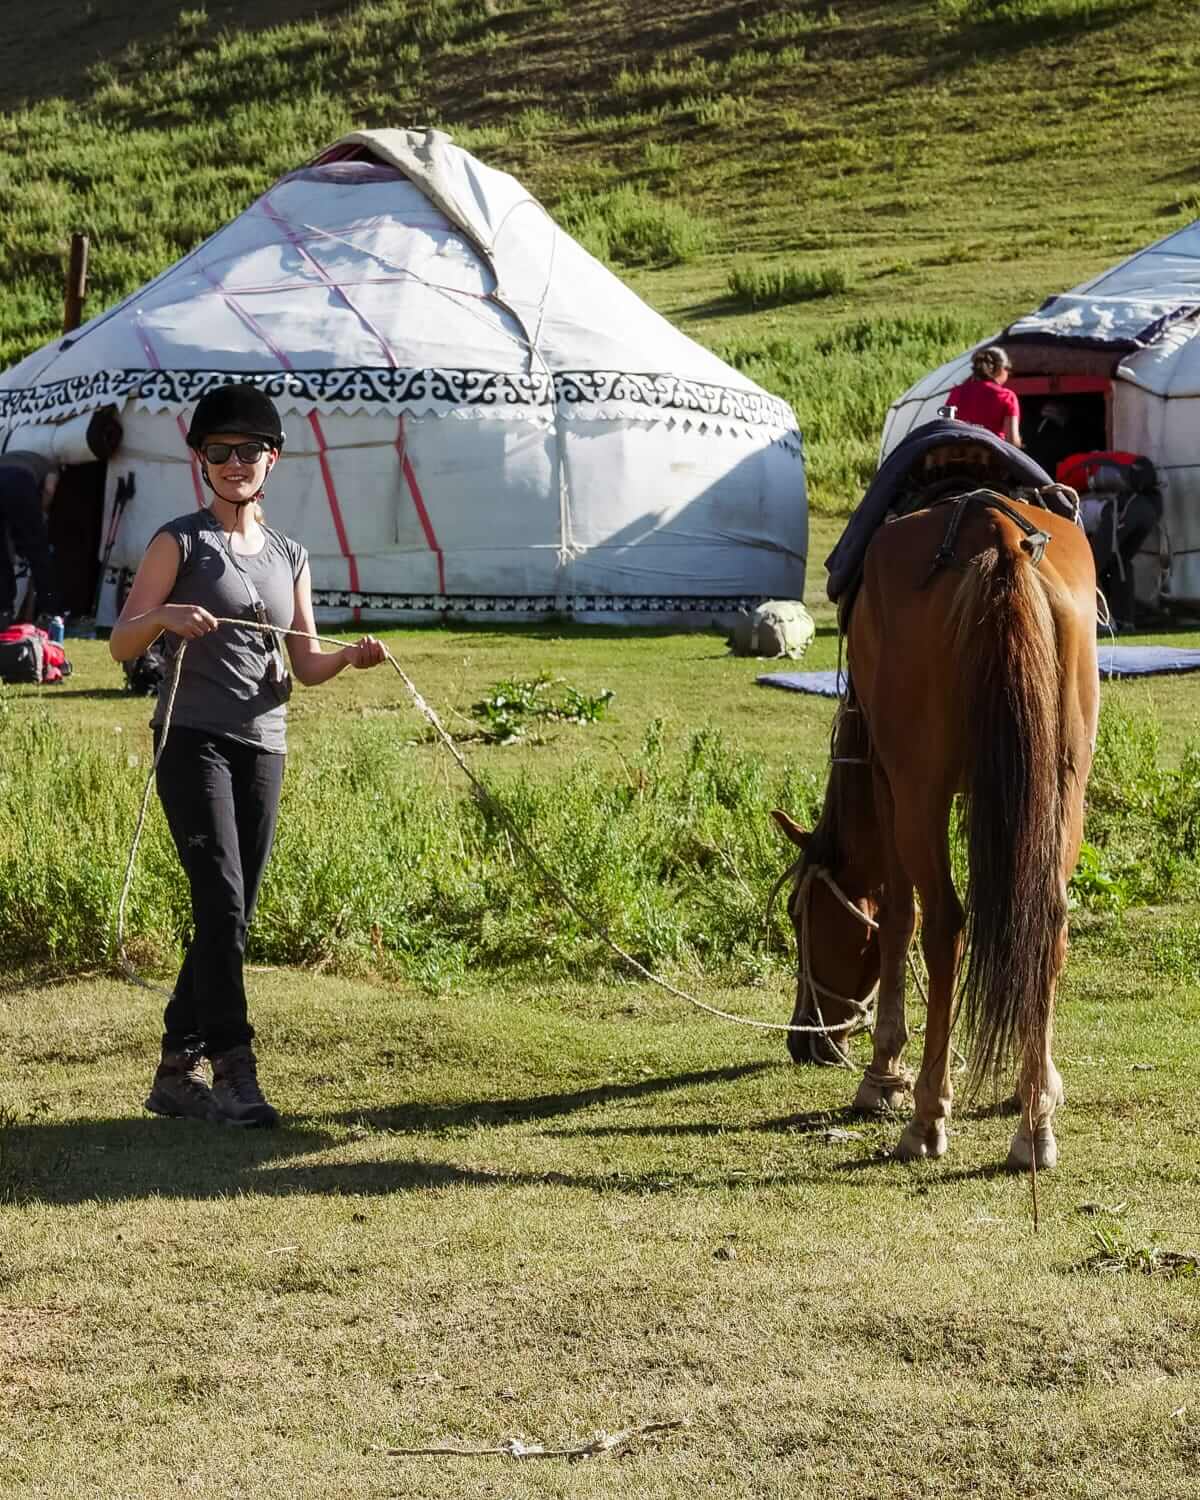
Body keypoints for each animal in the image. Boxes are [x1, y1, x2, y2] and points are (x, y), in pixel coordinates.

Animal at [780, 492, 1098, 1170]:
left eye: (801, 913)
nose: (805, 1039)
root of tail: (1000, 539)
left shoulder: (887, 779)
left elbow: (899, 918)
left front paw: (883, 1075)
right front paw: (1042, 1086)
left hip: (919, 787)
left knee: (945, 922)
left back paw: (926, 1116)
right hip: (1064, 784)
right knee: (1048, 920)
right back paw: (1034, 1123)